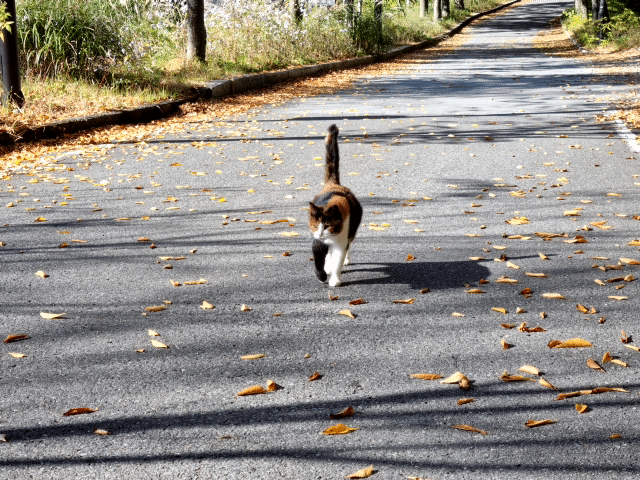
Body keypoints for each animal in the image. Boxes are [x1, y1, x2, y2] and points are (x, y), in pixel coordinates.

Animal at [309, 124, 362, 287]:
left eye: (327, 225)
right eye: (315, 226)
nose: (320, 234)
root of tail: (334, 185)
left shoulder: (341, 241)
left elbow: (338, 259)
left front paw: (335, 280)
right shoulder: (320, 242)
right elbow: (321, 255)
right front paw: (324, 273)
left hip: (352, 231)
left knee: (348, 246)